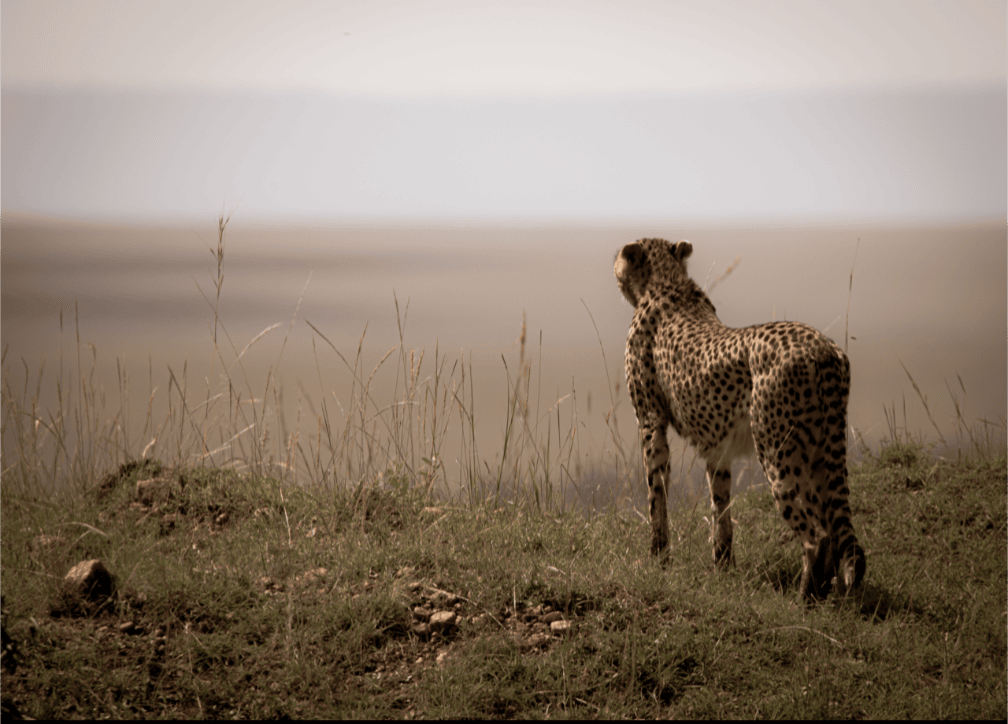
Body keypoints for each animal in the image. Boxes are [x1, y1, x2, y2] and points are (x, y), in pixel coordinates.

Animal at [614, 238, 865, 603]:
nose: (614, 269)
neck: (667, 282)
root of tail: (824, 349)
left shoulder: (651, 423)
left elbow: (656, 496)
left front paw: (658, 560)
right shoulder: (717, 447)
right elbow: (721, 507)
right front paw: (722, 569)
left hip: (779, 454)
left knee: (817, 533)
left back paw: (804, 599)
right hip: (821, 452)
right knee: (835, 529)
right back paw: (827, 594)